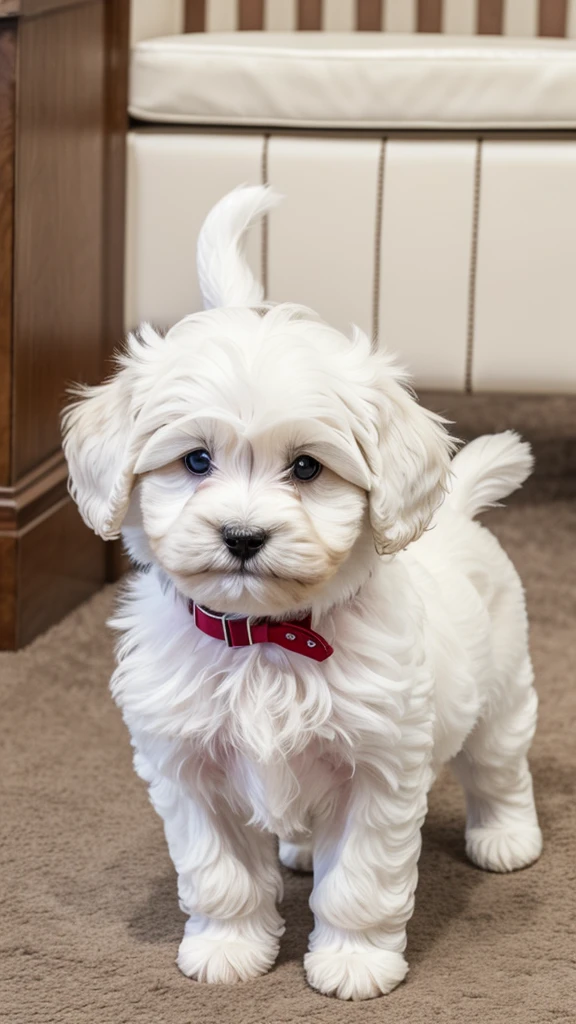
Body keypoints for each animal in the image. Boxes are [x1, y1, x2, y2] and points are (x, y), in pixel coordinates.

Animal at [60, 186, 541, 999]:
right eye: (195, 461)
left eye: (308, 468)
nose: (243, 535)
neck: (266, 638)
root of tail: (459, 508)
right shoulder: (188, 767)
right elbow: (220, 875)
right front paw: (227, 948)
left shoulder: (381, 766)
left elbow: (361, 883)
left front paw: (353, 961)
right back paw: (301, 850)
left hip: (501, 687)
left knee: (499, 765)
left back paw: (506, 836)